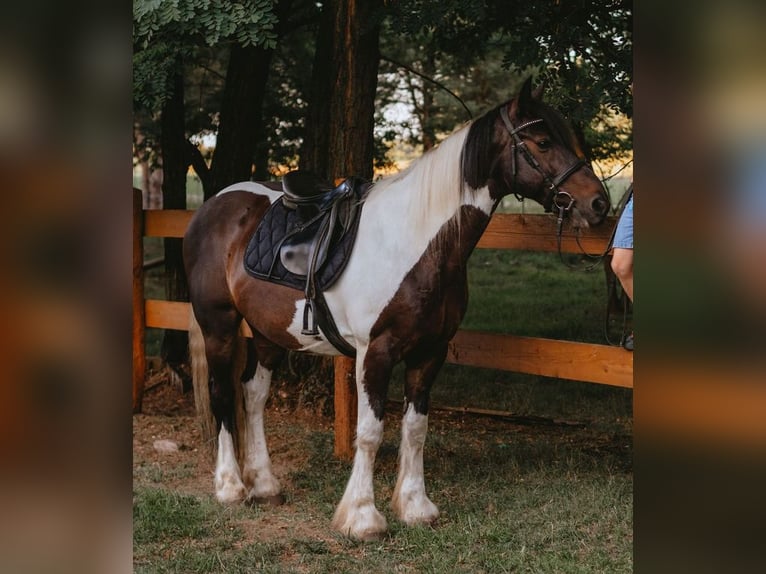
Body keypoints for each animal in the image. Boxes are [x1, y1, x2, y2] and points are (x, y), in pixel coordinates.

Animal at [183, 78, 610, 540]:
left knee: (253, 394)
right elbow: (370, 432)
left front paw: (415, 506)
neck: (417, 242)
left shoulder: (430, 352)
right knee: (223, 394)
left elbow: (416, 428)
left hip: (268, 332)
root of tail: (213, 206)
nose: (599, 204)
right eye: (544, 142)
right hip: (220, 326)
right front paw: (362, 517)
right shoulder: (376, 352)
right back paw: (230, 486)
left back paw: (264, 484)